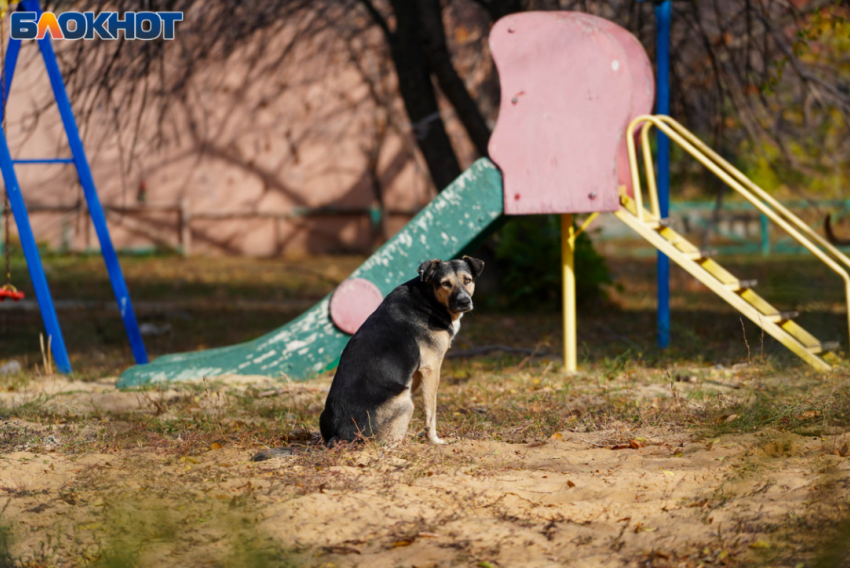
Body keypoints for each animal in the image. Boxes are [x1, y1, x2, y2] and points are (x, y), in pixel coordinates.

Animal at [318, 255, 484, 446]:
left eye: (468, 280)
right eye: (445, 284)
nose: (464, 302)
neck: (428, 298)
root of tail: (340, 434)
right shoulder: (431, 369)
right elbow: (431, 413)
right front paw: (434, 440)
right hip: (406, 403)